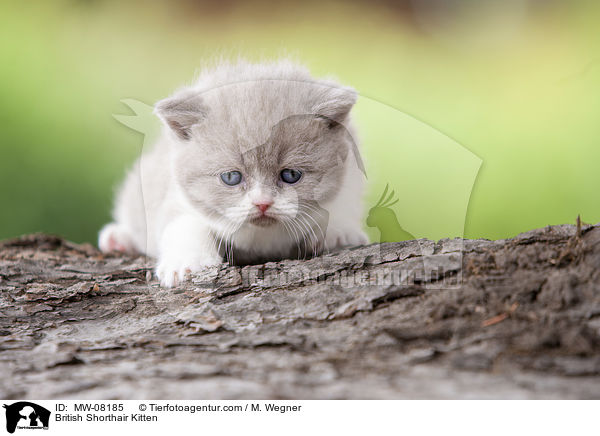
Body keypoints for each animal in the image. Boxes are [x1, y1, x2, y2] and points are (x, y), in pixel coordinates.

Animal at [99, 60, 366, 286]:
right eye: (231, 177)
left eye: (291, 175)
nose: (262, 203)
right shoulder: (175, 196)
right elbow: (184, 224)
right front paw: (188, 263)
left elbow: (339, 205)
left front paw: (340, 232)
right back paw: (118, 239)